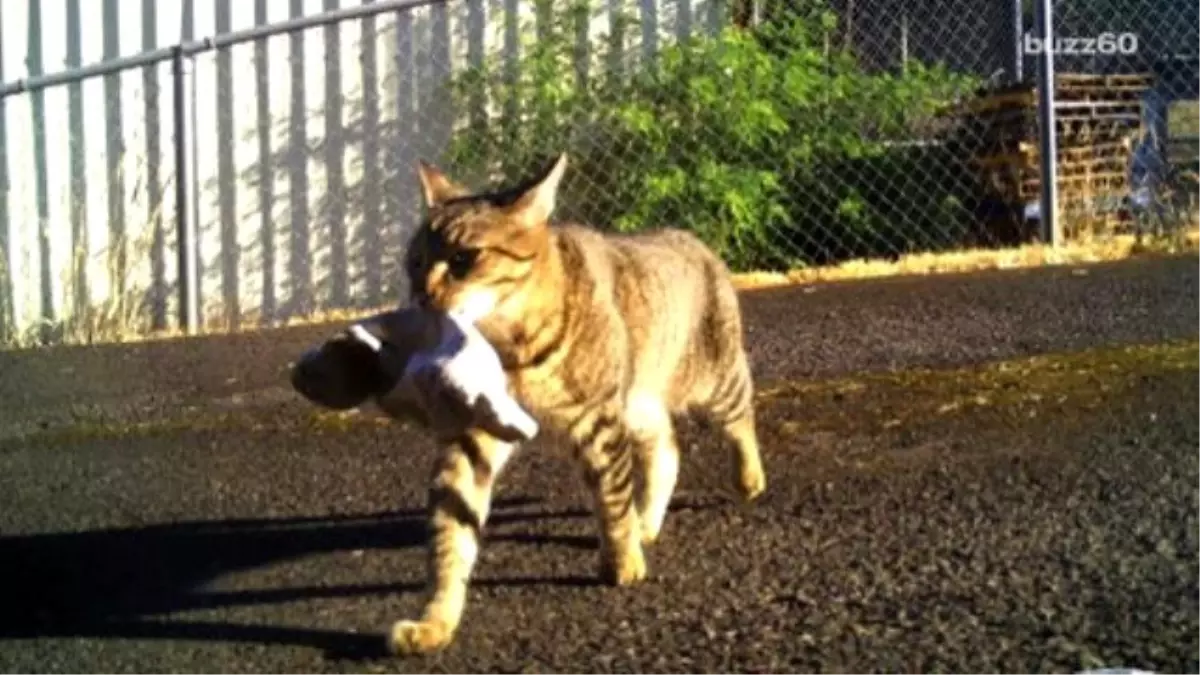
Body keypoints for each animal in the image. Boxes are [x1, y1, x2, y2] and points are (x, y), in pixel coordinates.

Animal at [388, 153, 763, 653]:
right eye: (413, 264)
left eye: (464, 259)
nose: (420, 298)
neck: (508, 349)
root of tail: (692, 238)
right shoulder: (470, 434)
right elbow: (451, 531)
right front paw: (436, 618)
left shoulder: (597, 420)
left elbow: (611, 497)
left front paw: (622, 561)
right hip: (639, 403)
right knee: (667, 449)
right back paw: (648, 520)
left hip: (712, 380)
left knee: (741, 416)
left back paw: (748, 478)